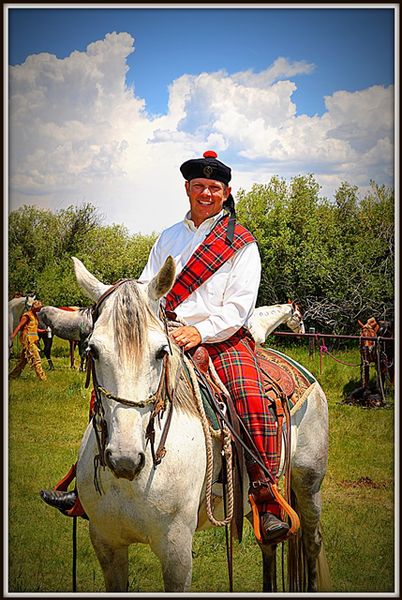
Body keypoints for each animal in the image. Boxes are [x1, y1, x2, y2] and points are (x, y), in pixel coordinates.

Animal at [70, 255, 330, 592]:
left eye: (161, 352)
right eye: (93, 350)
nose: (124, 458)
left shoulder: (177, 550)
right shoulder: (106, 543)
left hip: (309, 483)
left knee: (311, 542)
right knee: (268, 543)